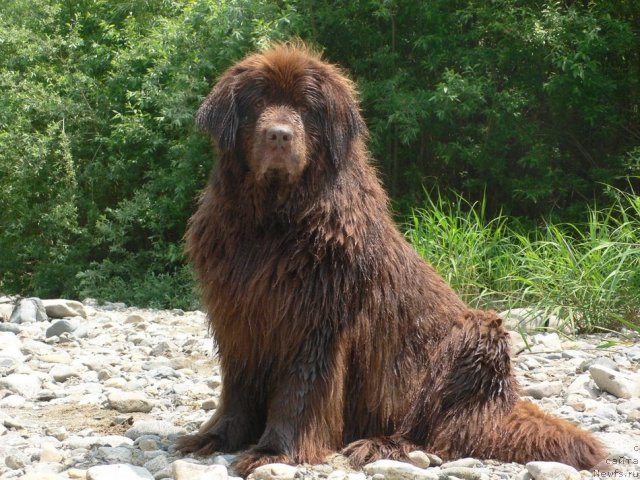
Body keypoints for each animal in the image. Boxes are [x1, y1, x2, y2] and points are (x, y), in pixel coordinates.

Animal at [176, 42, 604, 476]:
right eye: (259, 101)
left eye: (307, 107)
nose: (279, 135)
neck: (272, 222)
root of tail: (505, 400)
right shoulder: (238, 316)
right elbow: (236, 389)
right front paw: (213, 437)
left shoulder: (314, 323)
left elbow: (299, 391)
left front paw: (274, 451)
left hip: (470, 340)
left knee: (435, 432)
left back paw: (378, 444)